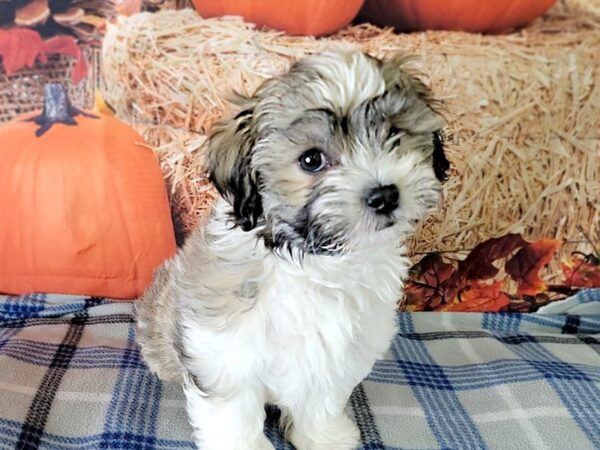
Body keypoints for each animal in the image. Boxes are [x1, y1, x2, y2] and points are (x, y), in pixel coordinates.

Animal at [135, 51, 446, 450]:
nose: (384, 194)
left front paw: (324, 437)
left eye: (394, 133)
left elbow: (321, 399)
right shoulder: (223, 349)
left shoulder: (335, 355)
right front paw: (243, 446)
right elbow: (232, 408)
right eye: (311, 160)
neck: (316, 261)